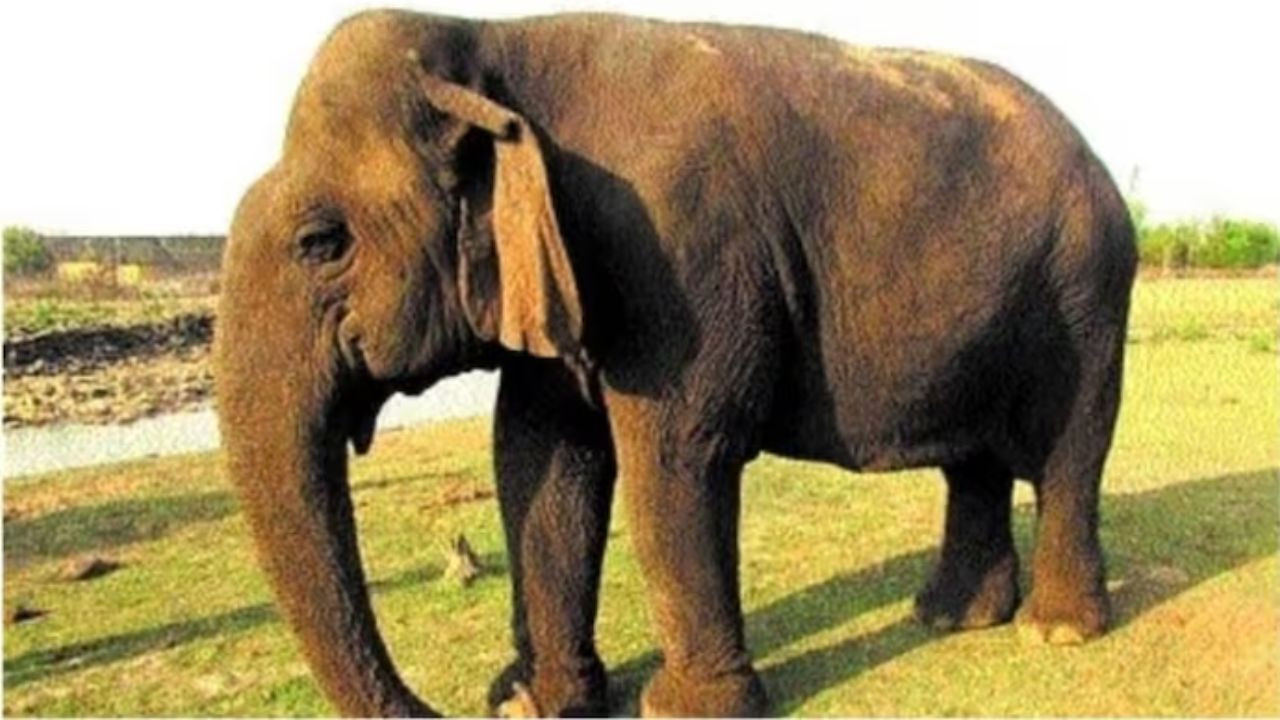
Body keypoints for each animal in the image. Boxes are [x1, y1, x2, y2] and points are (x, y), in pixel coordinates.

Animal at [214, 9, 1137, 718]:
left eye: (320, 243)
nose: (488, 699)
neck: (493, 42)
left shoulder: (679, 257)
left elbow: (673, 455)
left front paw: (679, 709)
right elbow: (540, 456)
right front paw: (549, 700)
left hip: (1088, 290)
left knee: (1069, 452)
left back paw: (1055, 630)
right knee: (973, 462)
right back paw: (950, 618)